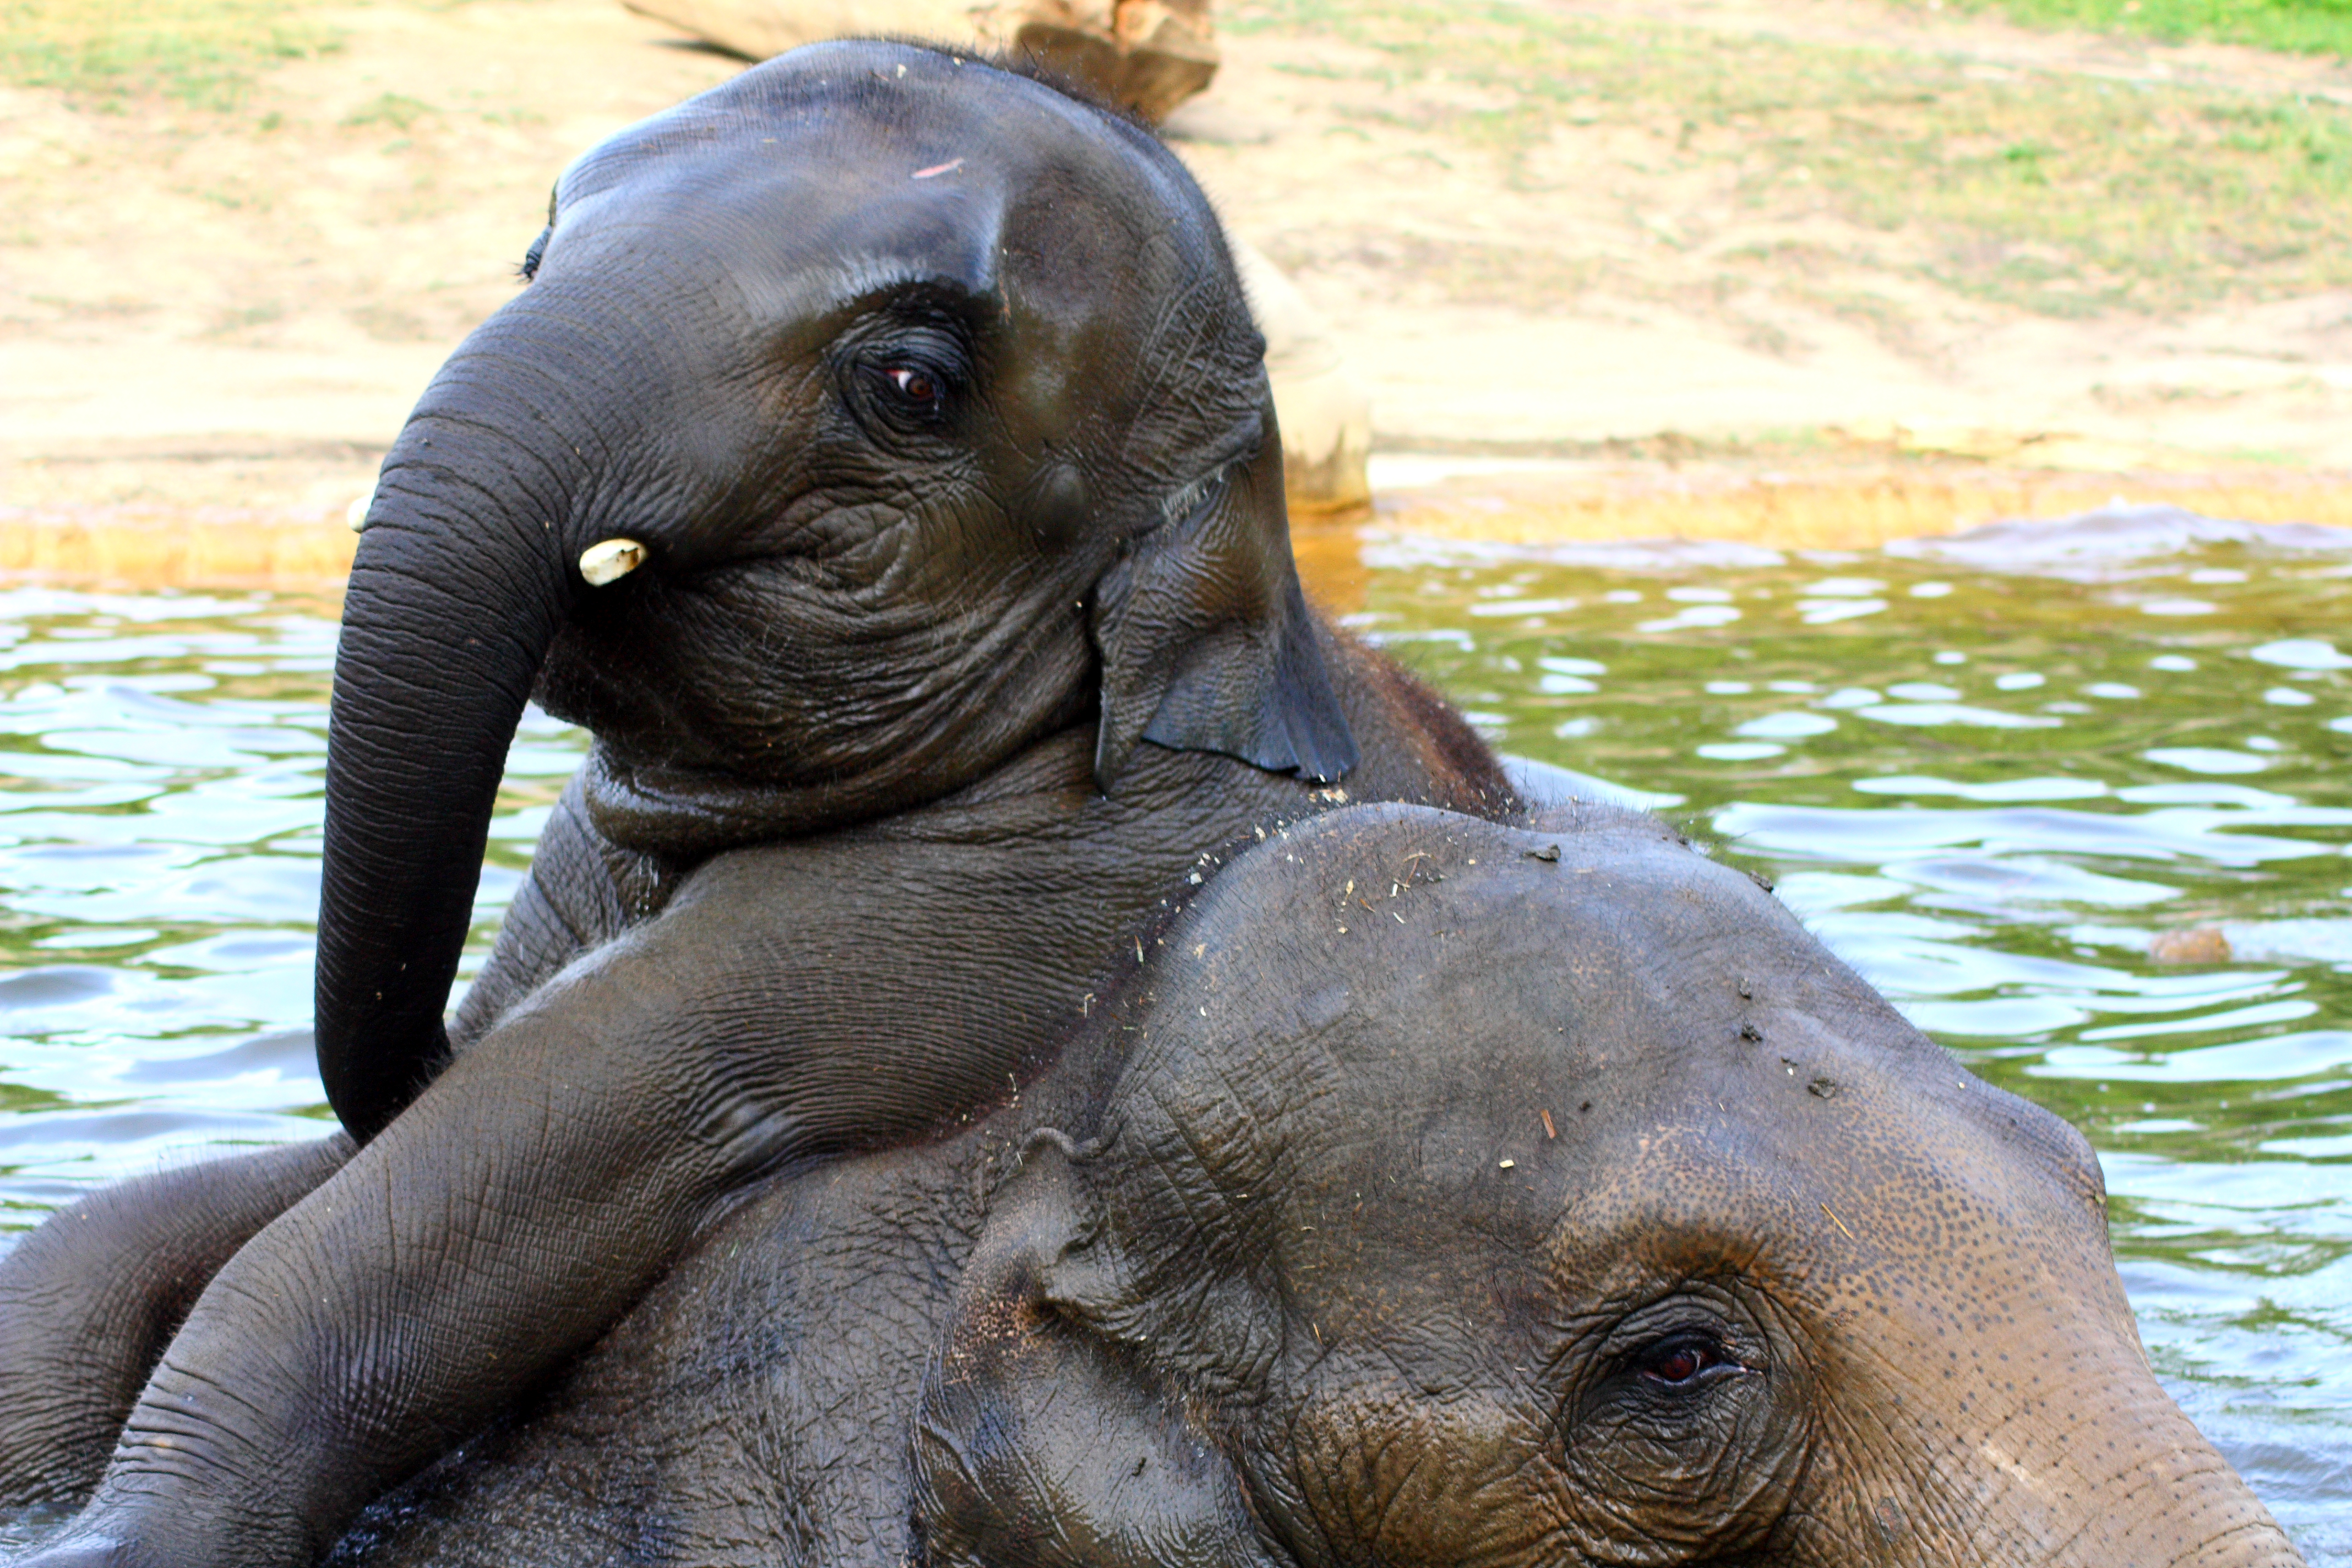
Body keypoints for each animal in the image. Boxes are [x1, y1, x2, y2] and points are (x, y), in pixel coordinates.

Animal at [0, 36, 1505, 1568]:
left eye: (910, 382)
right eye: (535, 252)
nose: (414, 1039)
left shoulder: (982, 906)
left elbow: (486, 1166)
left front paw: (100, 1544)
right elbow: (229, 1190)